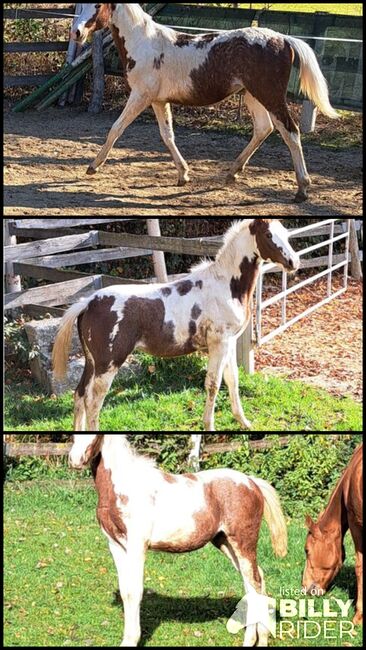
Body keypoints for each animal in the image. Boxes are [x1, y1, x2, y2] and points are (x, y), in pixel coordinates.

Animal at [53, 218, 300, 430]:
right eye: (268, 234)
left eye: (286, 233)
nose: (293, 262)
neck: (226, 286)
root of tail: (88, 303)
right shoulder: (219, 343)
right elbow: (213, 384)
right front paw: (209, 426)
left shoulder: (229, 343)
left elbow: (233, 381)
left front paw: (244, 422)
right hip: (109, 364)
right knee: (93, 403)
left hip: (91, 362)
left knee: (79, 395)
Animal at [69, 2, 338, 201]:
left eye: (98, 4)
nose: (77, 33)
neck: (144, 43)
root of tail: (283, 38)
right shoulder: (158, 101)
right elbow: (167, 136)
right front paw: (183, 175)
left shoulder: (140, 96)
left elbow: (116, 128)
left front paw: (93, 166)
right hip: (253, 96)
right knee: (264, 129)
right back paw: (232, 173)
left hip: (269, 96)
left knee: (290, 132)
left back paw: (302, 189)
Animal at [69, 432, 288, 644]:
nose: (75, 459)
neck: (125, 485)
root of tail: (252, 482)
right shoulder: (115, 545)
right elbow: (125, 590)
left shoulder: (137, 545)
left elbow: (134, 591)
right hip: (225, 543)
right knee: (254, 581)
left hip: (242, 542)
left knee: (255, 582)